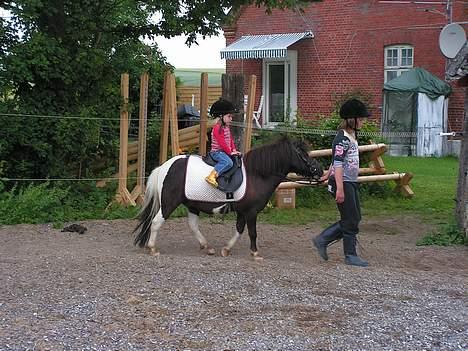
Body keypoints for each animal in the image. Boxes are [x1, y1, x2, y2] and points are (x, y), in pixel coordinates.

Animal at [132, 138, 322, 262]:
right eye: (303, 154)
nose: (319, 170)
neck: (257, 174)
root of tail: (164, 167)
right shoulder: (251, 212)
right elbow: (252, 232)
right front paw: (255, 253)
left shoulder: (243, 212)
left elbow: (239, 230)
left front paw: (226, 249)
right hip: (169, 203)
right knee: (156, 222)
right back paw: (152, 248)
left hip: (192, 205)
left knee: (193, 226)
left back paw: (207, 246)